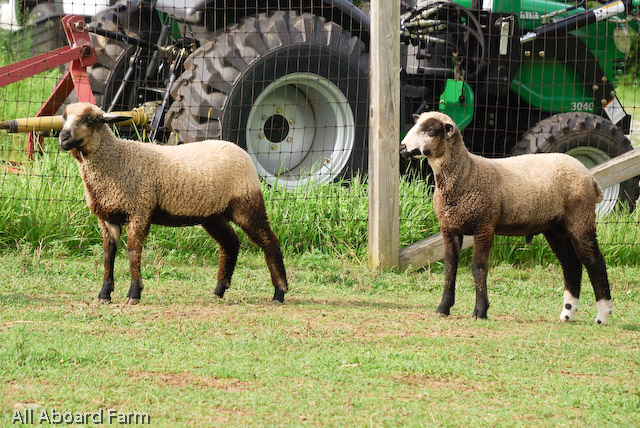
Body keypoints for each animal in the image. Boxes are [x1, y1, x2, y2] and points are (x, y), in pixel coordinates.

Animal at [58, 102, 288, 304]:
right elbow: (108, 255)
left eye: (89, 119)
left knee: (269, 241)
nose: (63, 137)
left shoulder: (139, 209)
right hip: (213, 215)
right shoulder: (107, 217)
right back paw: (219, 291)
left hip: (246, 204)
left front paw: (134, 293)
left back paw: (279, 292)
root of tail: (239, 149)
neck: (115, 159)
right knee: (230, 243)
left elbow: (133, 251)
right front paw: (105, 294)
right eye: (64, 116)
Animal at [400, 111, 616, 324]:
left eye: (430, 130)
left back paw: (603, 315)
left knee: (595, 262)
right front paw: (443, 308)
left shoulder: (484, 226)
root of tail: (590, 177)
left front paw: (480, 311)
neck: (467, 172)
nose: (402, 147)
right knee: (571, 264)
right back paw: (567, 313)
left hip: (580, 218)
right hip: (556, 228)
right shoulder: (449, 228)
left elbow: (478, 267)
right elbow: (450, 266)